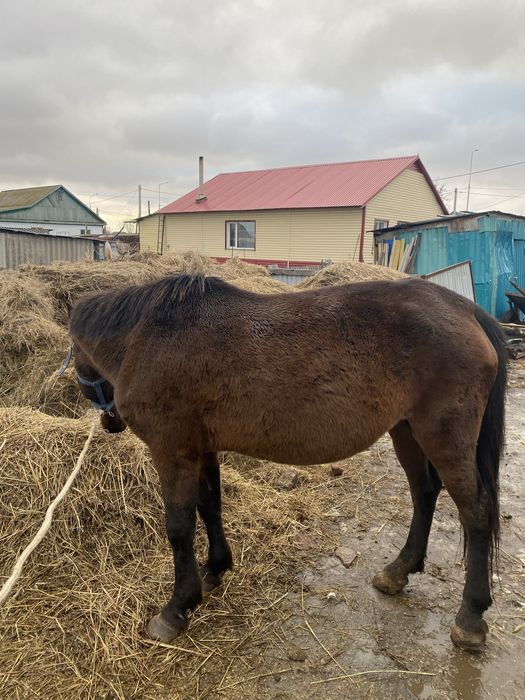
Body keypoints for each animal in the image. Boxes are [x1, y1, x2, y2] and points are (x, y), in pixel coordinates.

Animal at [69, 274, 507, 652]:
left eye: (75, 360)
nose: (109, 422)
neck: (149, 335)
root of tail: (466, 310)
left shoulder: (173, 449)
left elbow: (179, 527)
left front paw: (176, 608)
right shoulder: (201, 448)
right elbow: (210, 506)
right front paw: (214, 570)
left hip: (443, 436)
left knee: (476, 512)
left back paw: (470, 617)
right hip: (406, 431)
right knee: (424, 494)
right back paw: (398, 571)